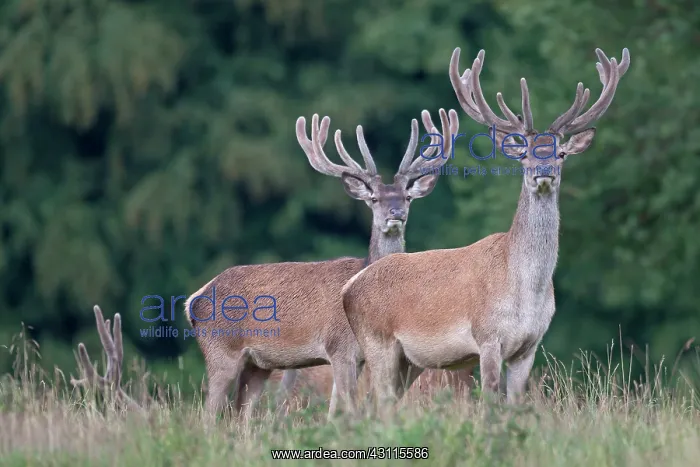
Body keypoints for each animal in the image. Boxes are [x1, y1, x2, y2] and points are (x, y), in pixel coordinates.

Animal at [184, 108, 459, 419]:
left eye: (407, 197)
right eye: (374, 198)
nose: (396, 213)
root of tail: (193, 300)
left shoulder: (358, 356)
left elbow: (337, 410)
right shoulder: (339, 346)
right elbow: (347, 407)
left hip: (258, 364)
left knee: (240, 412)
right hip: (221, 350)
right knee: (209, 413)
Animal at [340, 46, 630, 410]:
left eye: (561, 153)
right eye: (524, 154)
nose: (544, 171)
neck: (525, 288)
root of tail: (348, 288)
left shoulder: (529, 347)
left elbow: (515, 403)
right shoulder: (487, 336)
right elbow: (491, 399)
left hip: (407, 360)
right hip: (376, 342)